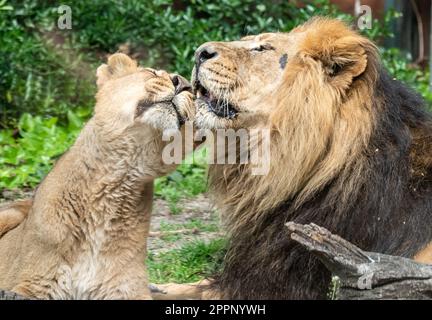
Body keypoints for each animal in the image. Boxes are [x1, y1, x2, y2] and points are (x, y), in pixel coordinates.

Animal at [0, 53, 194, 300]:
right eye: (151, 72)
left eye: (193, 94)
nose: (183, 84)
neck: (121, 172)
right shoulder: (34, 283)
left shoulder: (126, 287)